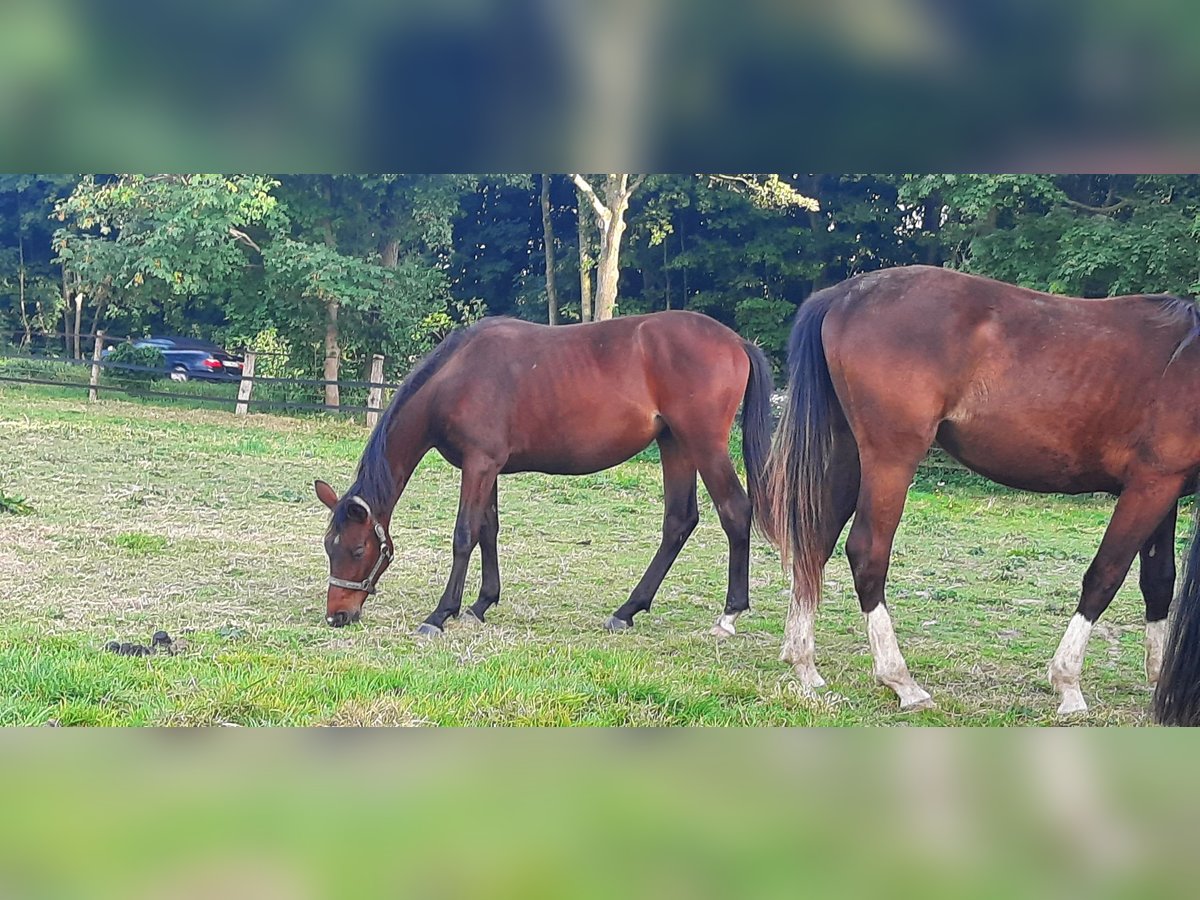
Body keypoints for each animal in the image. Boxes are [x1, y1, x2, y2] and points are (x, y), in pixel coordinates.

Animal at [314, 309, 772, 643]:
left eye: (358, 549)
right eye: (328, 547)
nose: (338, 615)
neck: (457, 376)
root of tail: (736, 342)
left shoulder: (479, 464)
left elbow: (464, 534)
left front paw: (441, 614)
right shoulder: (488, 467)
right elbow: (488, 529)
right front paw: (481, 604)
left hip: (703, 445)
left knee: (734, 511)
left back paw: (729, 614)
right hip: (674, 444)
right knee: (679, 521)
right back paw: (626, 611)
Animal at [763, 266, 1200, 720]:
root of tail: (843, 295)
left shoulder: (1164, 490)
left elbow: (1159, 581)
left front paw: (1158, 680)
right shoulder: (1150, 486)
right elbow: (1105, 576)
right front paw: (1068, 684)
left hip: (847, 451)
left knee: (816, 543)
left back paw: (805, 666)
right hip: (890, 459)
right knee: (867, 553)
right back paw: (901, 681)